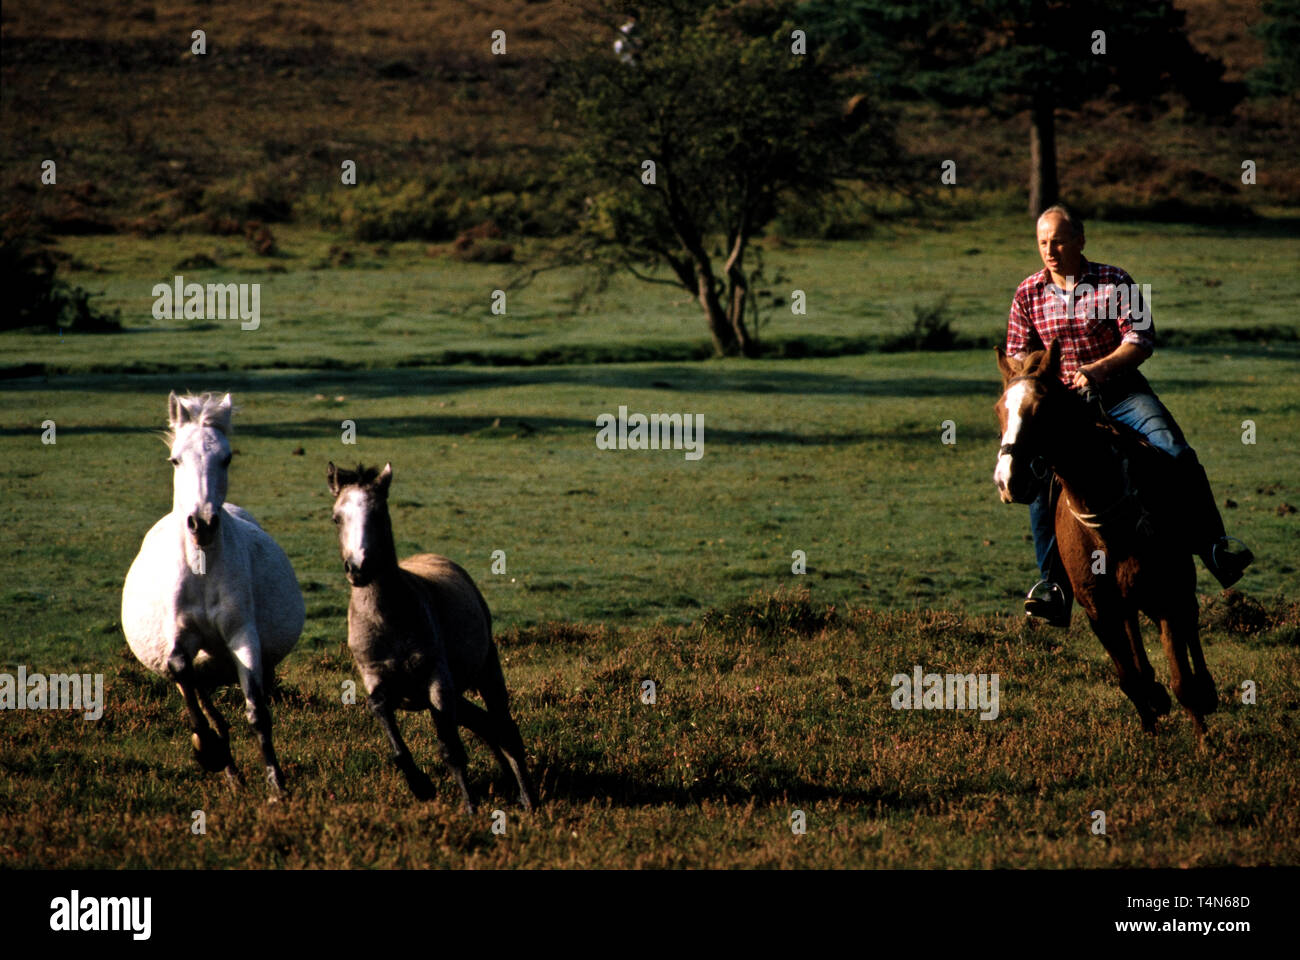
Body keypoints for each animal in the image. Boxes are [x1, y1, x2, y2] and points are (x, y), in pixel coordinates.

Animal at [121, 392, 304, 790]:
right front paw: (207, 750)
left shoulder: (242, 636)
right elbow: (180, 669)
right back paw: (228, 769)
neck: (202, 570)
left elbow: (257, 712)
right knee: (201, 698)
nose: (202, 523)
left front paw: (276, 787)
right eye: (175, 459)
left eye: (227, 457)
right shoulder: (179, 639)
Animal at [993, 340, 1216, 738]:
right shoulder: (1098, 609)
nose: (1008, 480)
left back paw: (1208, 690)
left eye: (1042, 408)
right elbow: (1131, 679)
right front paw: (1152, 726)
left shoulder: (1165, 595)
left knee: (1190, 619)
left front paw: (1207, 742)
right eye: (999, 409)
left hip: (1177, 585)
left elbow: (1182, 682)